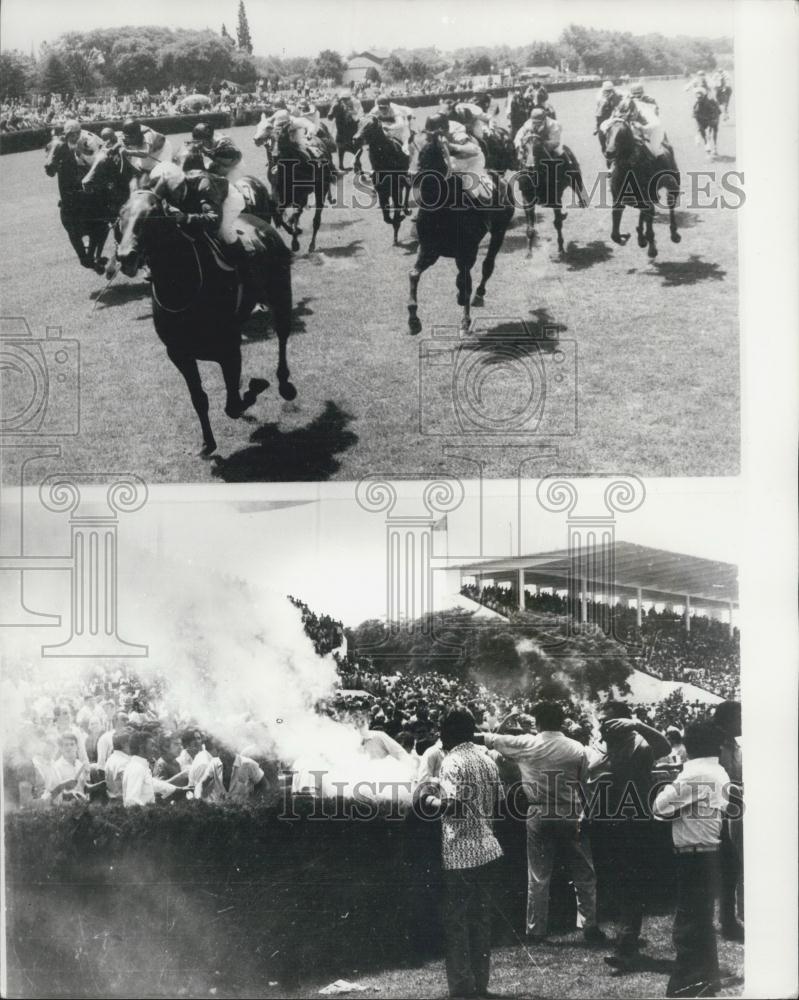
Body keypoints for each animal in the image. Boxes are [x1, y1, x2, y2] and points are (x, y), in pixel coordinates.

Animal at [44, 137, 110, 272]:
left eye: (62, 148)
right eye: (46, 147)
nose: (49, 167)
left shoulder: (96, 230)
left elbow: (91, 253)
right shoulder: (72, 234)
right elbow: (83, 257)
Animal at [113, 189, 296, 458]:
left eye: (152, 215)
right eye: (121, 215)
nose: (126, 255)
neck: (182, 289)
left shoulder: (229, 349)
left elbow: (233, 404)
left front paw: (254, 387)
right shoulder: (179, 354)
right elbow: (199, 398)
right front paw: (208, 443)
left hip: (281, 294)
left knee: (283, 335)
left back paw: (284, 383)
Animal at [354, 113, 412, 244]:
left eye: (370, 125)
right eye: (358, 124)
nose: (356, 138)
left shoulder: (395, 188)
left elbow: (396, 209)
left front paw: (399, 218)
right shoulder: (381, 191)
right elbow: (386, 217)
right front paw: (396, 222)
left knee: (408, 185)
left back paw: (406, 210)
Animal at [410, 133, 516, 338]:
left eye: (428, 152)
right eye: (410, 149)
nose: (411, 175)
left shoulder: (467, 250)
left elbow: (466, 281)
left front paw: (465, 321)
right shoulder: (428, 250)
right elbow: (414, 275)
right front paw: (413, 322)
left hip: (499, 231)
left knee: (487, 265)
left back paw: (479, 295)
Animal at [608, 117, 680, 260]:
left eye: (622, 133)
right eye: (608, 131)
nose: (609, 152)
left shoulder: (648, 201)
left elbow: (650, 228)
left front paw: (652, 250)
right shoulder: (618, 202)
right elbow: (614, 235)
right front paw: (626, 236)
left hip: (672, 187)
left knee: (671, 206)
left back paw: (674, 234)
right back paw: (641, 238)